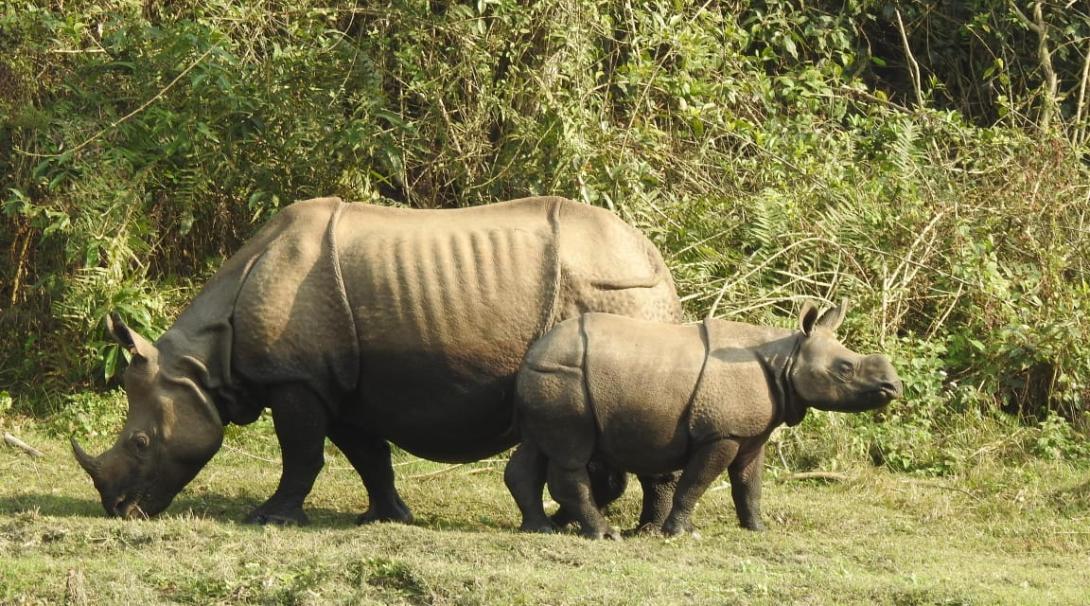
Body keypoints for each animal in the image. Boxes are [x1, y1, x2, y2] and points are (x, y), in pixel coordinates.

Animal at [72, 196, 682, 524]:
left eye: (140, 442)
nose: (118, 510)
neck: (202, 364)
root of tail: (656, 260)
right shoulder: (337, 382)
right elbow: (368, 456)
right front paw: (387, 517)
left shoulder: (297, 379)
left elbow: (301, 454)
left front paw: (270, 518)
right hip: (619, 294)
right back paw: (572, 521)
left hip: (617, 294)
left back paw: (642, 532)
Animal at [504, 301, 902, 538]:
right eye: (845, 368)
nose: (893, 386)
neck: (786, 359)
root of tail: (536, 349)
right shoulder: (721, 433)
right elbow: (696, 482)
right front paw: (681, 533)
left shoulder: (751, 433)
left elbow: (749, 484)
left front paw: (758, 529)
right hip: (566, 378)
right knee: (571, 454)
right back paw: (603, 535)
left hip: (549, 375)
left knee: (537, 447)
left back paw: (540, 528)